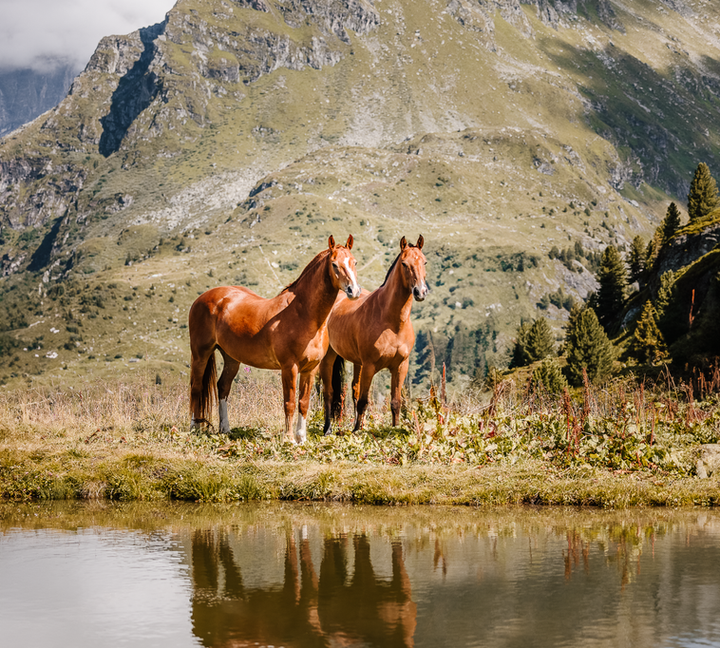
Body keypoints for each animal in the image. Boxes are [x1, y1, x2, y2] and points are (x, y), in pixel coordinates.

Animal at [188, 235, 361, 443]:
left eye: (354, 262)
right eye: (334, 264)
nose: (354, 291)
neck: (303, 314)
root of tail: (203, 298)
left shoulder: (310, 369)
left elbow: (303, 403)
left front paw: (301, 438)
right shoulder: (289, 367)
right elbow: (290, 402)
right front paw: (289, 438)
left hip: (231, 358)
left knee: (222, 387)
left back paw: (225, 429)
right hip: (201, 353)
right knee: (196, 387)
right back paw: (194, 427)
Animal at [320, 235, 428, 433]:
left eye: (424, 262)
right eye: (404, 264)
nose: (420, 291)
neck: (392, 323)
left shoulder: (400, 366)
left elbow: (395, 402)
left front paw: (394, 429)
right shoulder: (370, 366)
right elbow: (364, 401)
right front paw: (356, 431)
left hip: (357, 362)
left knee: (354, 390)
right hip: (330, 358)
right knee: (329, 392)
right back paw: (328, 428)